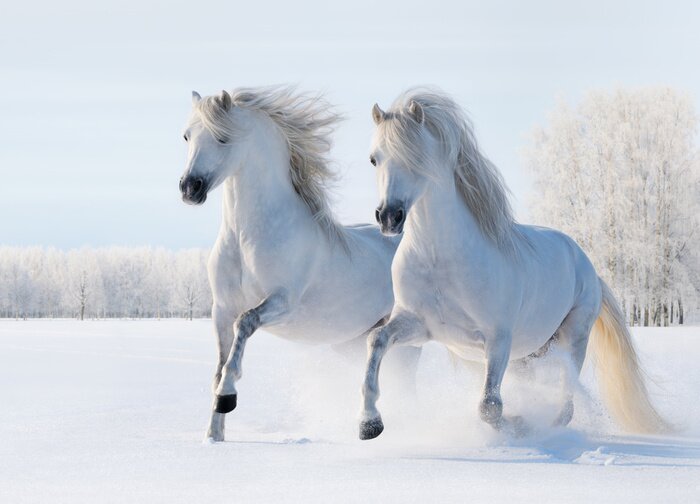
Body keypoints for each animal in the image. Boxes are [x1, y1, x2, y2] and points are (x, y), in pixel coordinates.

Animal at [179, 87, 419, 442]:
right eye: (187, 136)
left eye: (223, 138)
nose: (189, 188)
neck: (246, 239)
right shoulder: (220, 310)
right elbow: (219, 366)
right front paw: (214, 435)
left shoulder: (282, 303)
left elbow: (244, 326)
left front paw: (227, 398)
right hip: (352, 341)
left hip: (408, 337)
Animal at [358, 88, 667, 440]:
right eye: (374, 158)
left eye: (417, 156)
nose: (389, 217)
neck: (440, 259)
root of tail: (587, 265)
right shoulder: (419, 326)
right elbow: (376, 340)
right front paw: (369, 423)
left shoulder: (498, 340)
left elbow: (489, 407)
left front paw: (518, 426)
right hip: (528, 355)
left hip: (573, 338)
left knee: (567, 402)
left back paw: (547, 428)